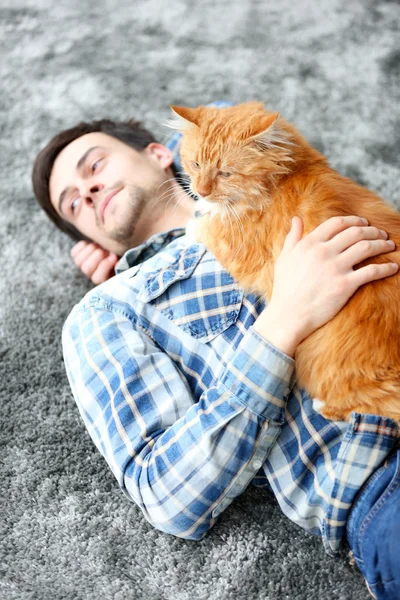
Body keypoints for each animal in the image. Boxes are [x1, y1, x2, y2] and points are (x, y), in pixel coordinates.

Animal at [170, 102, 400, 422]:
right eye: (195, 165)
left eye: (225, 173)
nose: (201, 190)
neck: (283, 176)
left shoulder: (237, 249)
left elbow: (203, 226)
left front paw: (193, 222)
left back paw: (320, 406)